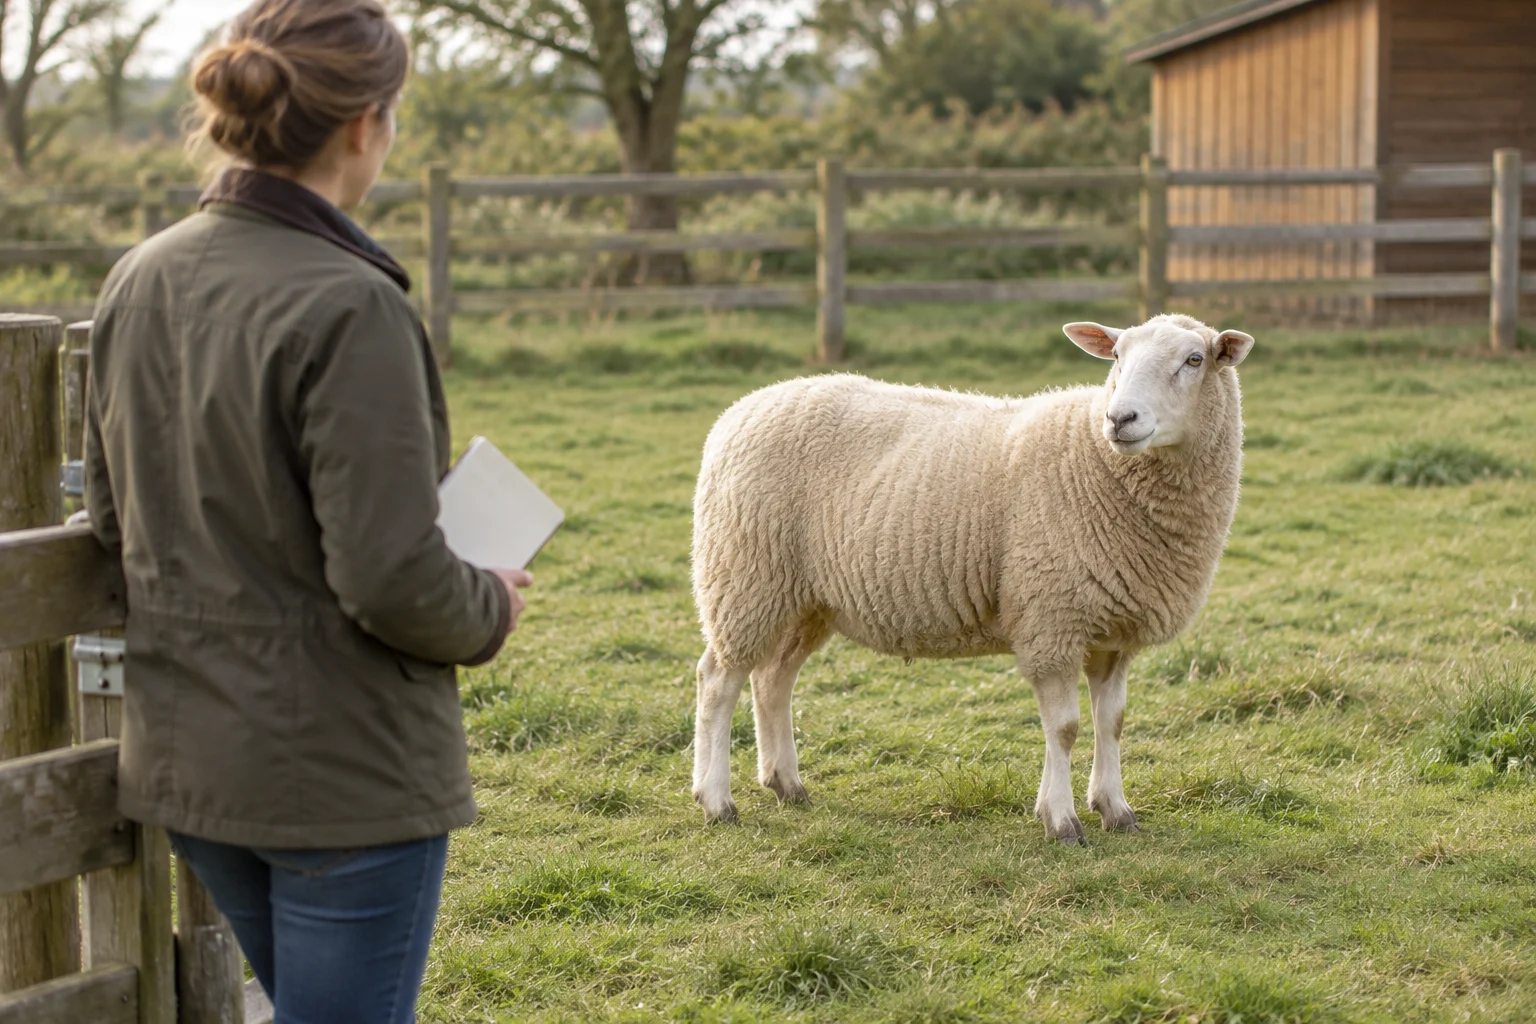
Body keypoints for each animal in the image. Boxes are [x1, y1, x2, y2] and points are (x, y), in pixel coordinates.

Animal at [688, 313, 1255, 842]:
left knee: (773, 679)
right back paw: (716, 800)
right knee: (718, 680)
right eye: (1116, 356)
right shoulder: (1051, 619)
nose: (1120, 419)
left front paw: (1116, 809)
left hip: (804, 598)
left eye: (1194, 360)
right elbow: (1066, 728)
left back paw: (786, 784)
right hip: (744, 577)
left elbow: (1110, 723)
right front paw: (1061, 819)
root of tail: (740, 411)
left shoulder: (1114, 632)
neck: (1100, 463)